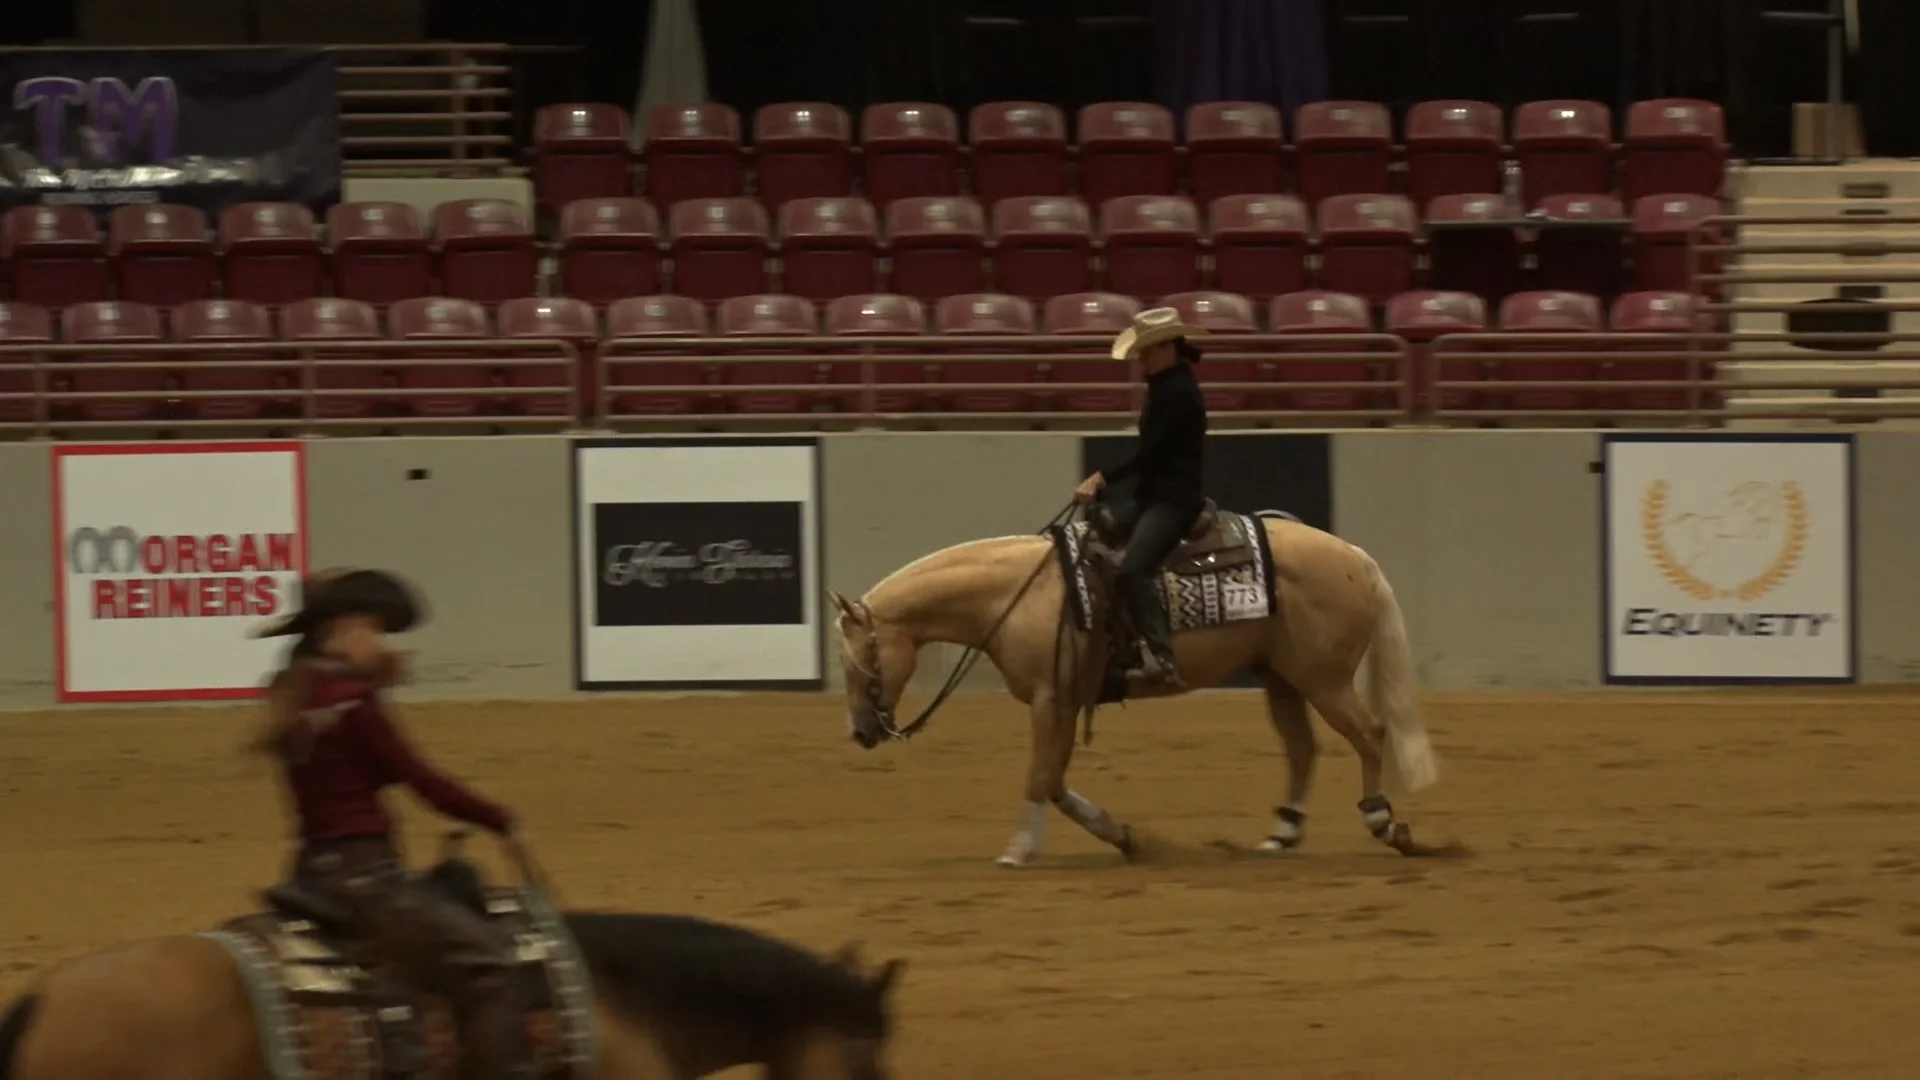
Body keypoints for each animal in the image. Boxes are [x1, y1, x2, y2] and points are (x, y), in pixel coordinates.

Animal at [825, 503, 1443, 864]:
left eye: (859, 663)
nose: (860, 733)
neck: (1021, 593)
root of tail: (1355, 556)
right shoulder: (1065, 701)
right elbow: (1054, 781)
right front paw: (1123, 836)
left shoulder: (1051, 699)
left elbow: (1039, 778)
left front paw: (1020, 849)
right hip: (1282, 677)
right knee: (1302, 748)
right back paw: (1282, 833)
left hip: (1324, 678)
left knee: (1369, 734)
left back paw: (1384, 822)